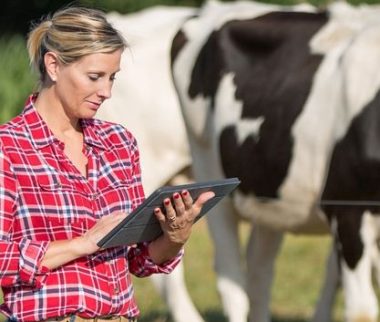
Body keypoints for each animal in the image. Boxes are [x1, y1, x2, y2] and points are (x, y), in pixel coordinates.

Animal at [171, 0, 380, 322]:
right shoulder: (348, 209)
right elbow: (362, 311)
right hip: (207, 169)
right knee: (231, 279)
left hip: (268, 193)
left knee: (259, 272)